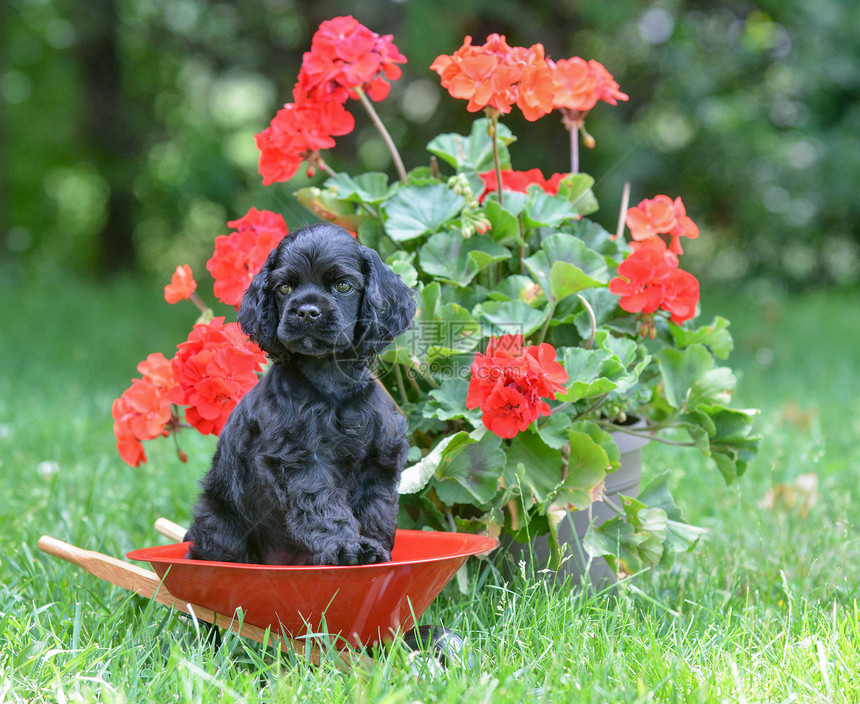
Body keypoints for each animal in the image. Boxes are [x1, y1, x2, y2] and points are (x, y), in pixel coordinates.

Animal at [184, 226, 416, 568]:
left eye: (343, 286)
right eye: (284, 287)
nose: (307, 312)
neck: (330, 383)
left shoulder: (380, 459)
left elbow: (376, 508)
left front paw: (374, 548)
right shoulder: (298, 458)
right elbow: (322, 505)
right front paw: (345, 547)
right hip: (219, 520)